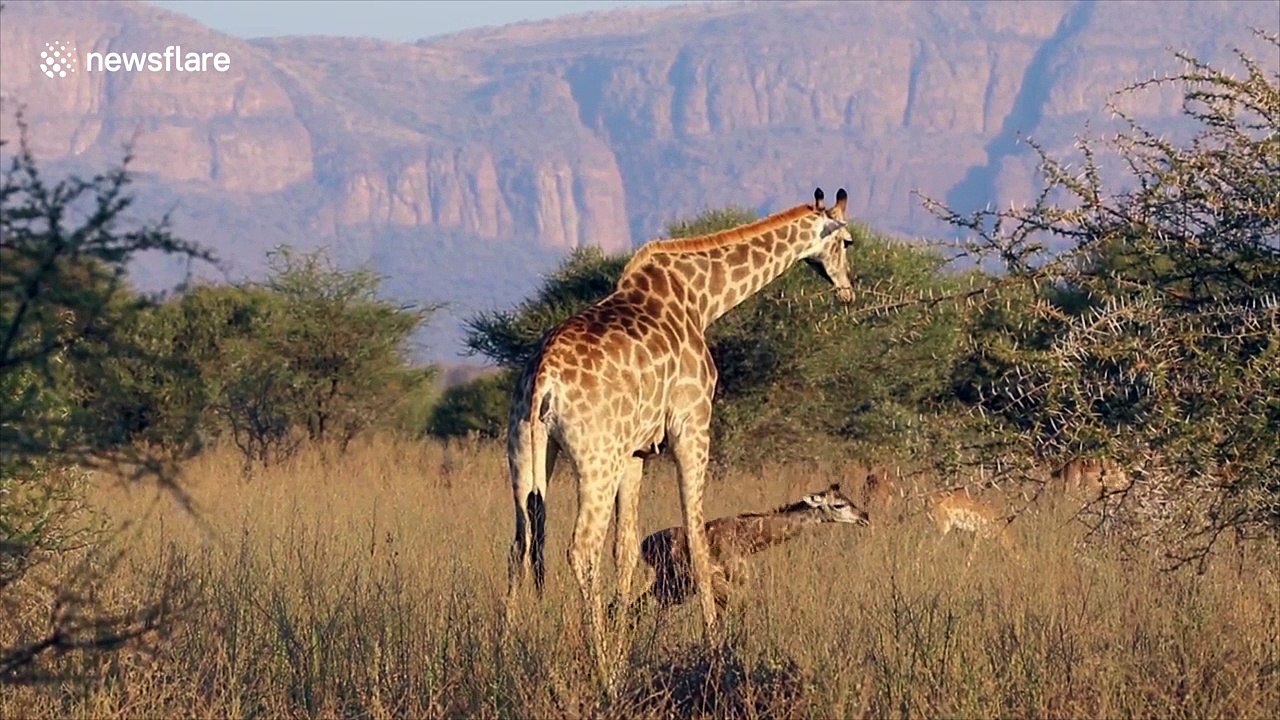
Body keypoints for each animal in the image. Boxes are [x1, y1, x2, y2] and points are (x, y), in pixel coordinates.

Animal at [634, 483, 870, 612]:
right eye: (839, 505)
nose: (865, 517)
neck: (746, 540)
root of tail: (645, 545)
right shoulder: (725, 584)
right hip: (671, 585)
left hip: (672, 587)